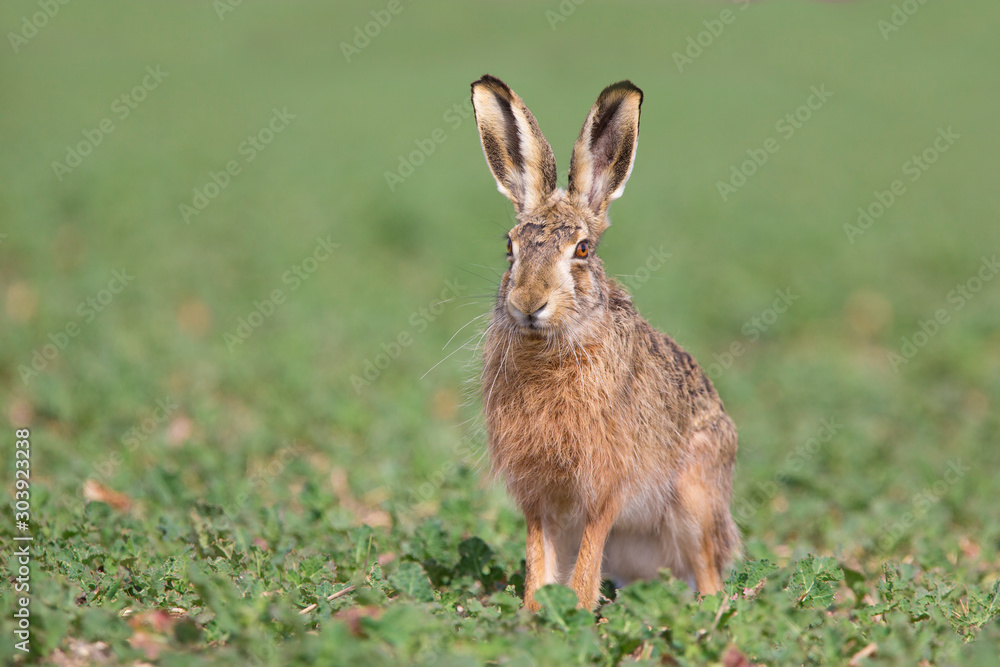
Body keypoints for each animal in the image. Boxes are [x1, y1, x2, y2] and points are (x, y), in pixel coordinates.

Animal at [470, 74, 739, 611]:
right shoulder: (538, 494)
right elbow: (539, 555)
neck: (549, 348)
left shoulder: (605, 485)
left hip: (696, 499)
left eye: (582, 249)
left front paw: (574, 609)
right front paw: (534, 611)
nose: (529, 303)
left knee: (708, 572)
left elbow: (590, 553)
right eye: (510, 247)